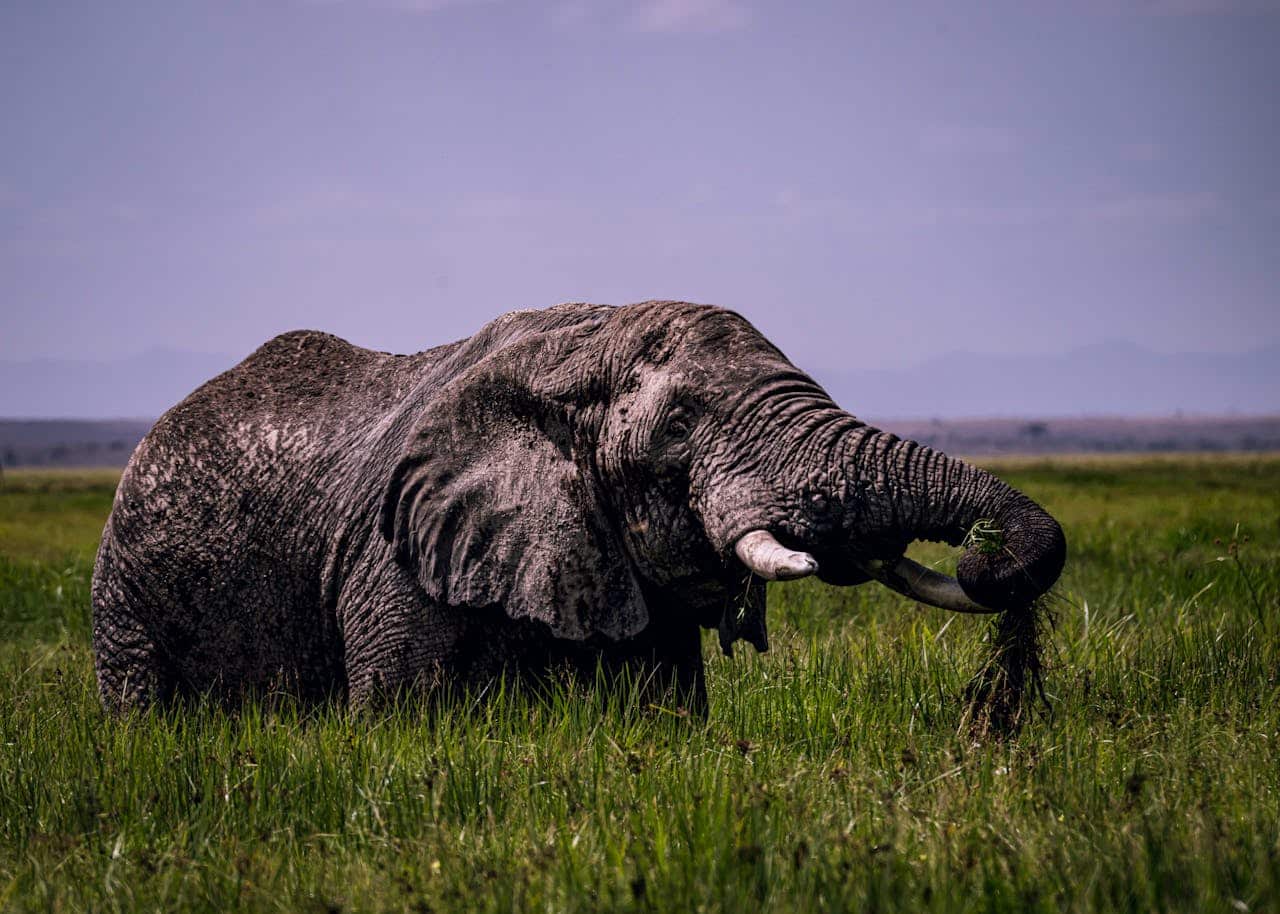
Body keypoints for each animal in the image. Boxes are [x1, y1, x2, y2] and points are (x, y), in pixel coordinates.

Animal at [90, 300, 1064, 711]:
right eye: (679, 426)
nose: (984, 555)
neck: (586, 339)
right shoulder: (393, 561)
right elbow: (401, 714)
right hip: (125, 589)